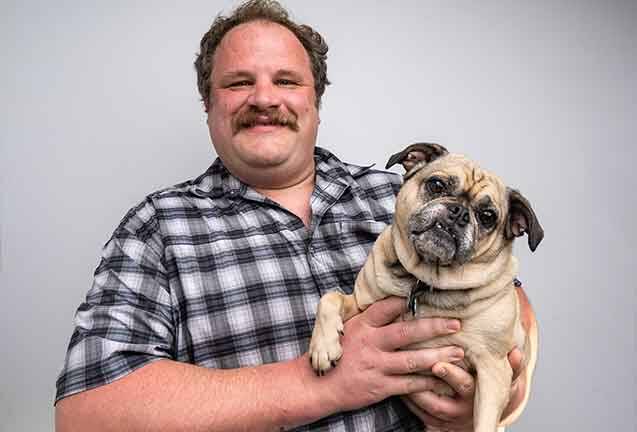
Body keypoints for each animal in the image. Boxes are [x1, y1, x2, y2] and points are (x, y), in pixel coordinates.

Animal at [308, 143, 542, 432]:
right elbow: (330, 298)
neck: (424, 281)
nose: (459, 212)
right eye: (437, 185)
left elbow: (485, 422)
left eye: (488, 217)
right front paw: (323, 346)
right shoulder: (360, 305)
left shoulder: (494, 368)